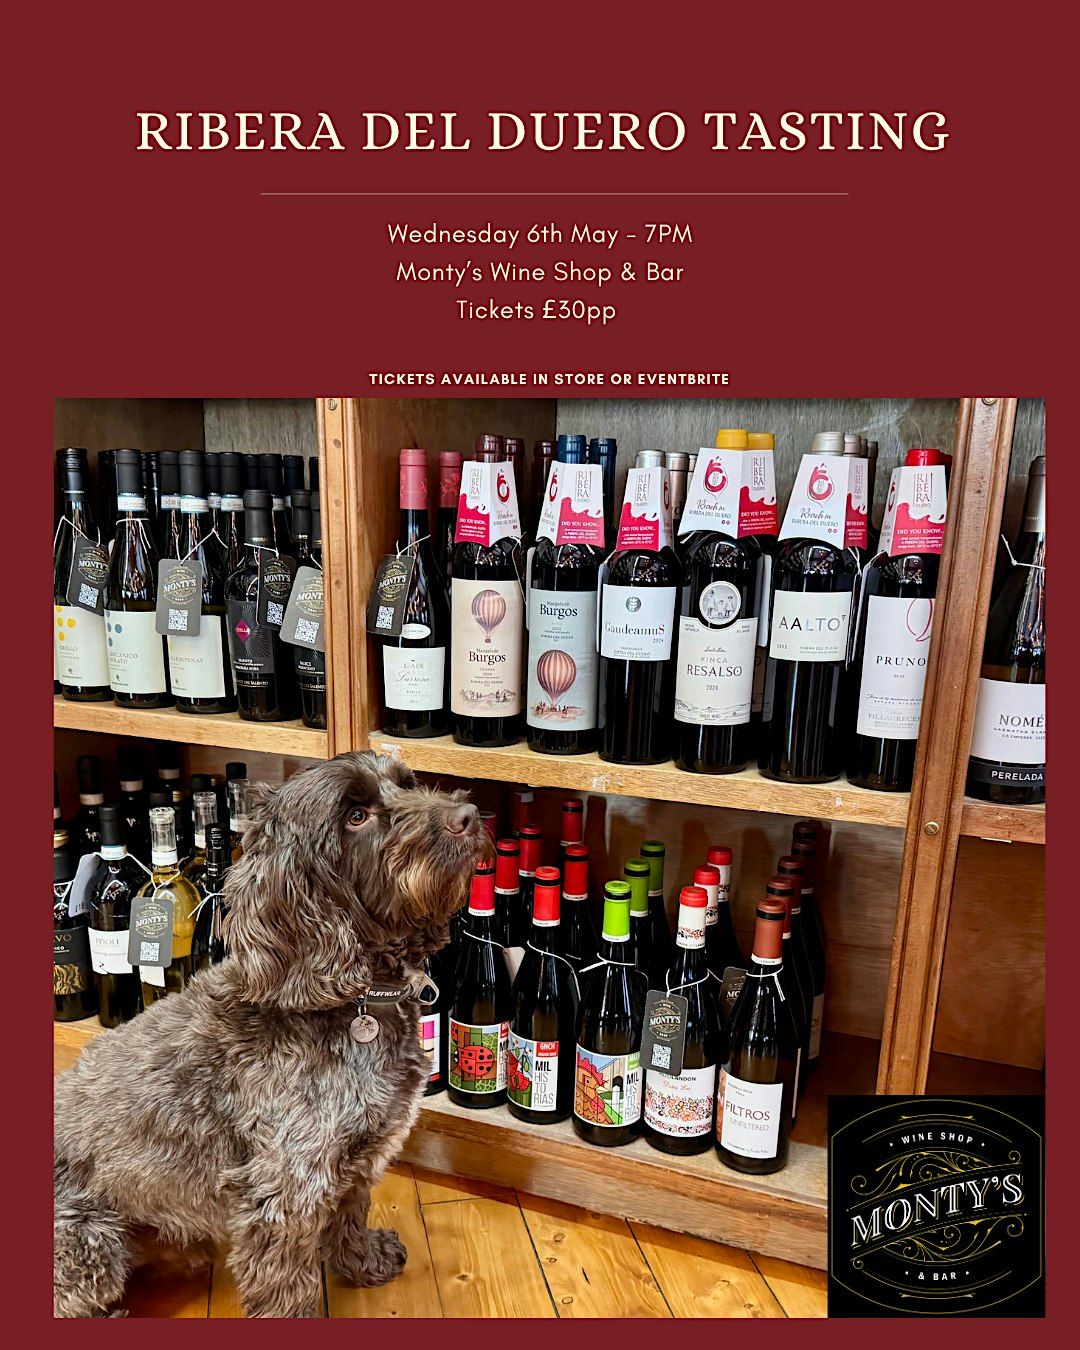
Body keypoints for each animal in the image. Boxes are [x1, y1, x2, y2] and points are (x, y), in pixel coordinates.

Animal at [54, 751, 486, 1318]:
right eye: (355, 817)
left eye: (407, 783)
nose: (469, 815)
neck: (352, 1000)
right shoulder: (285, 1189)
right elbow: (286, 1289)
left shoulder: (356, 1154)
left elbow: (351, 1211)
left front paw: (364, 1261)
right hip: (86, 1247)